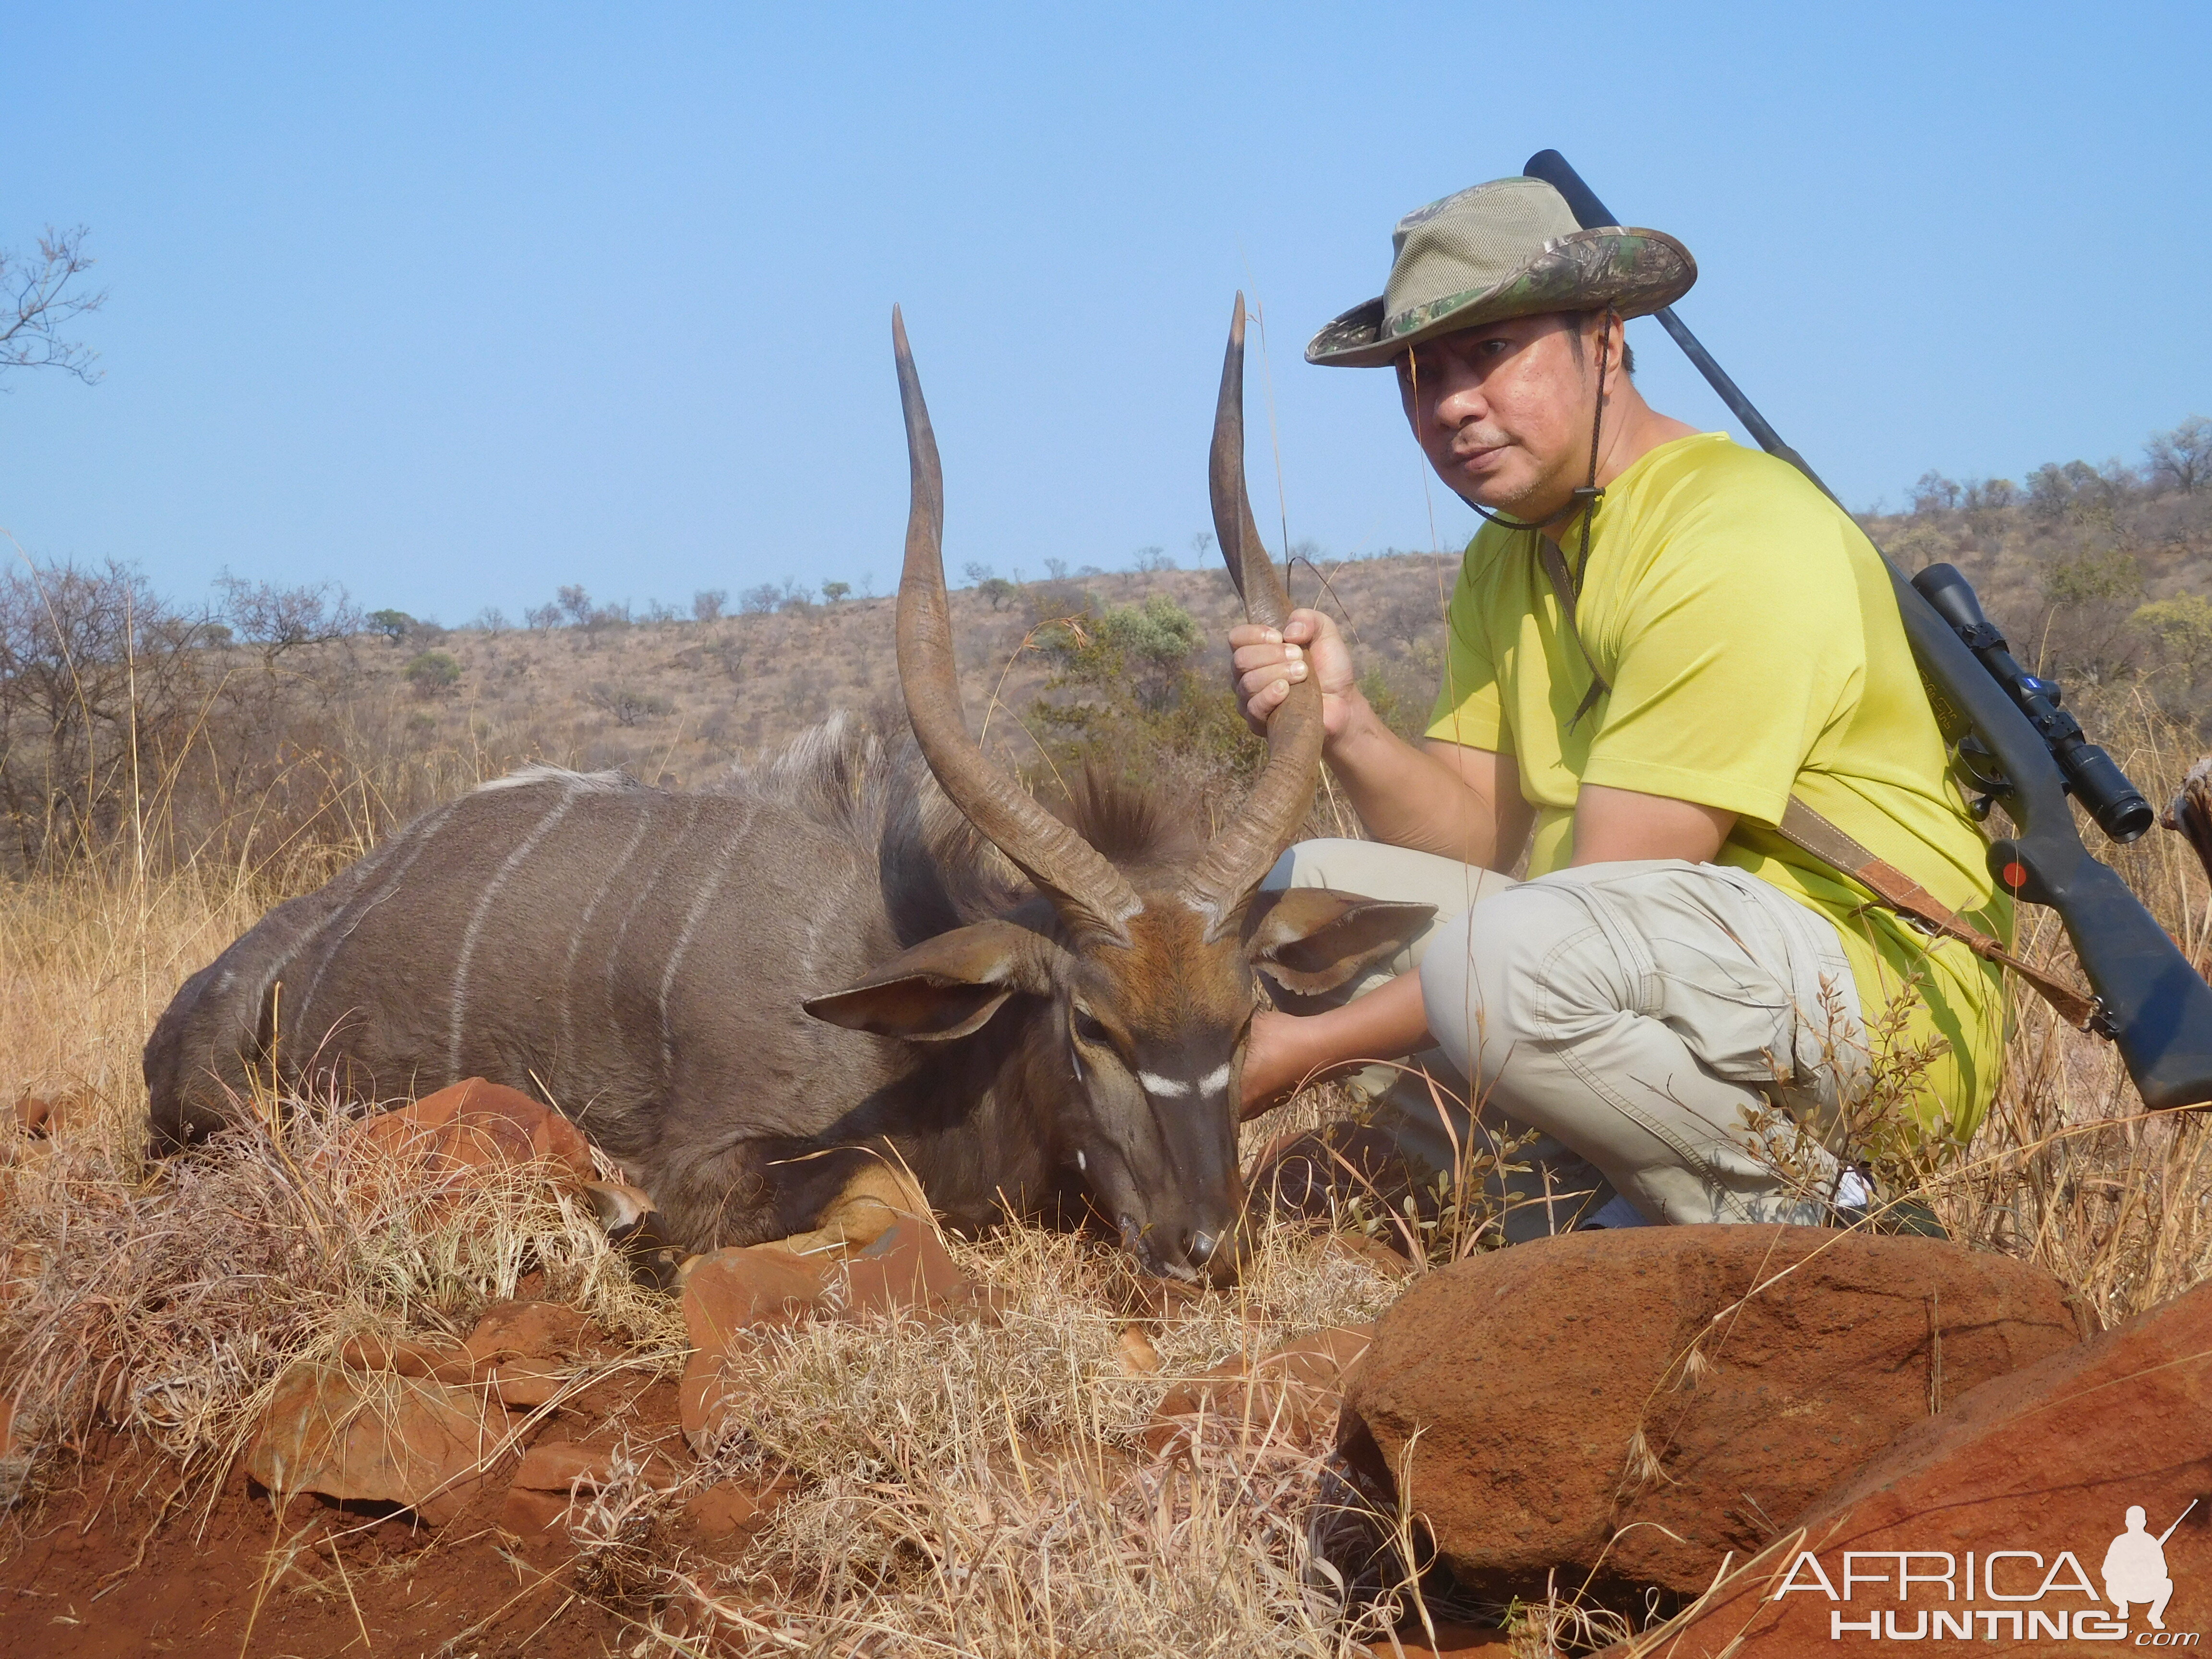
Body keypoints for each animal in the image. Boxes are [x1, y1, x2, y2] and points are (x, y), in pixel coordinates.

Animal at [156, 299, 1433, 1283]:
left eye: (1245, 1017)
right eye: (1091, 1023)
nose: (1202, 1243)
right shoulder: (714, 1160)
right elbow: (870, 1191)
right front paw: (622, 1218)